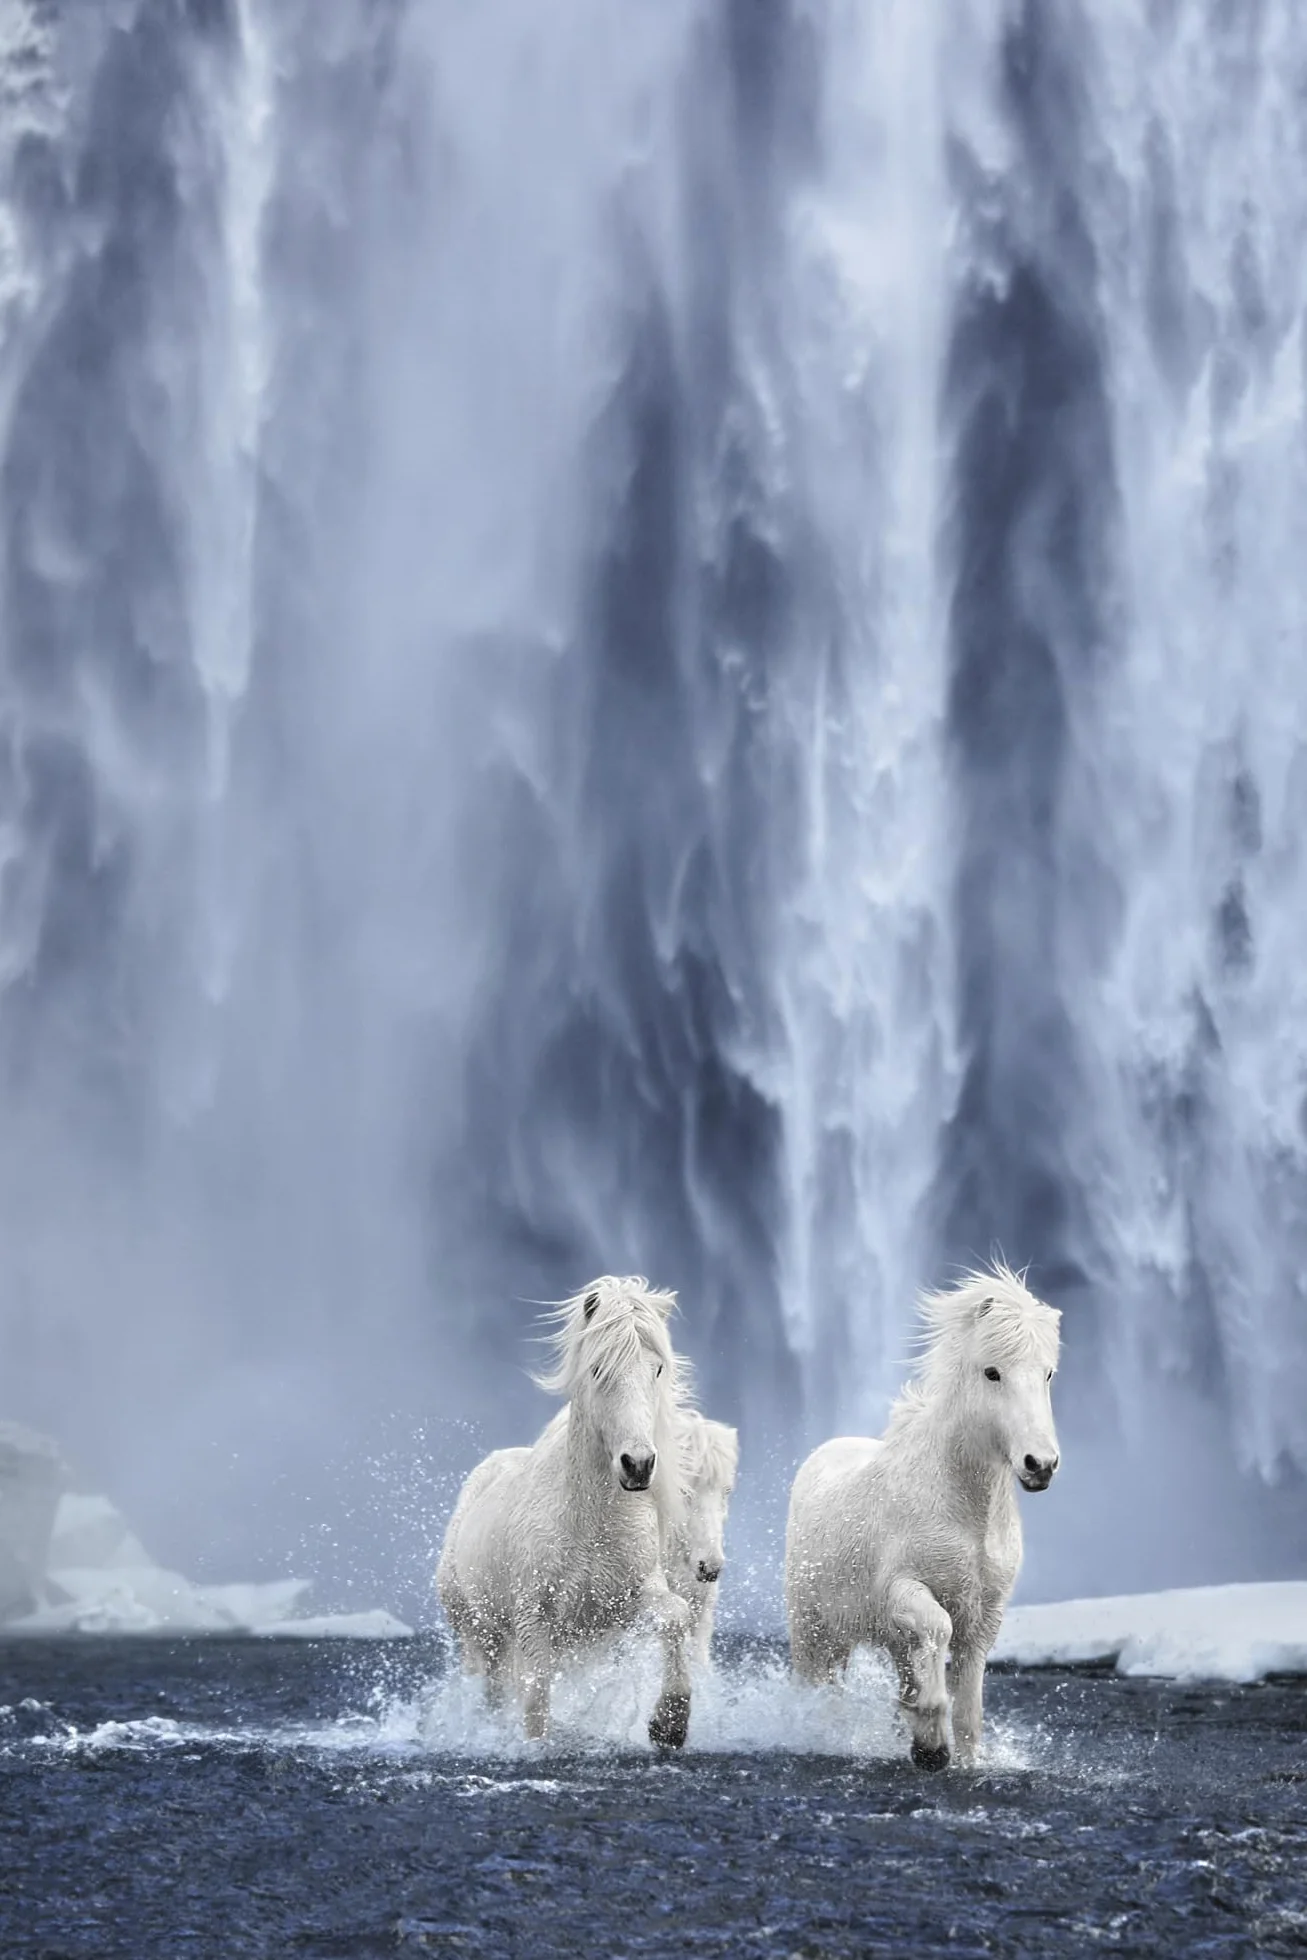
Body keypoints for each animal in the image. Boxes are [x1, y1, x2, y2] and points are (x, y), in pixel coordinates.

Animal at [436, 1276, 695, 1747]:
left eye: (658, 1369)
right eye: (597, 1369)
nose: (638, 1464)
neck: (591, 1524)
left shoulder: (629, 1600)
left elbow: (675, 1616)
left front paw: (670, 1724)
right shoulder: (532, 1617)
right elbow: (537, 1698)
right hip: (480, 1631)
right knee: (490, 1688)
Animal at [784, 1261, 1061, 1770]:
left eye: (1048, 1373)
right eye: (992, 1372)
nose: (1040, 1465)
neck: (965, 1512)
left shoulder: (984, 1615)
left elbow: (969, 1701)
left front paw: (954, 1752)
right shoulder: (902, 1590)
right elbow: (938, 1628)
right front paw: (931, 1741)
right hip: (814, 1628)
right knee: (819, 1683)